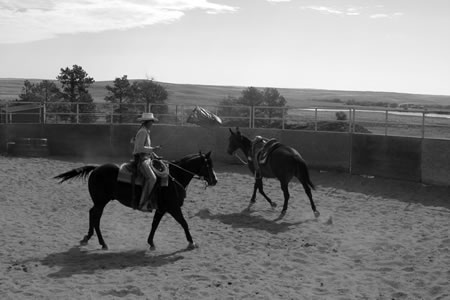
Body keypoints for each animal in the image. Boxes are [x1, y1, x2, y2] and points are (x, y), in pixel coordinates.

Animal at [53, 151, 219, 250]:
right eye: (208, 165)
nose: (215, 180)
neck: (174, 177)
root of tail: (96, 168)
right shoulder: (173, 208)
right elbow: (184, 223)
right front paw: (192, 242)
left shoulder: (162, 209)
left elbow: (154, 225)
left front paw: (151, 243)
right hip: (101, 202)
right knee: (96, 217)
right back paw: (102, 243)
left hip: (99, 202)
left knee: (91, 213)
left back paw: (87, 238)